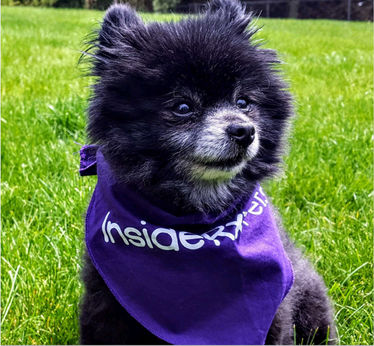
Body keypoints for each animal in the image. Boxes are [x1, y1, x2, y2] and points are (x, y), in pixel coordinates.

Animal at [79, 0, 336, 344]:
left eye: (243, 102)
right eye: (183, 107)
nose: (244, 130)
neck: (196, 222)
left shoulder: (275, 315)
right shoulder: (105, 303)